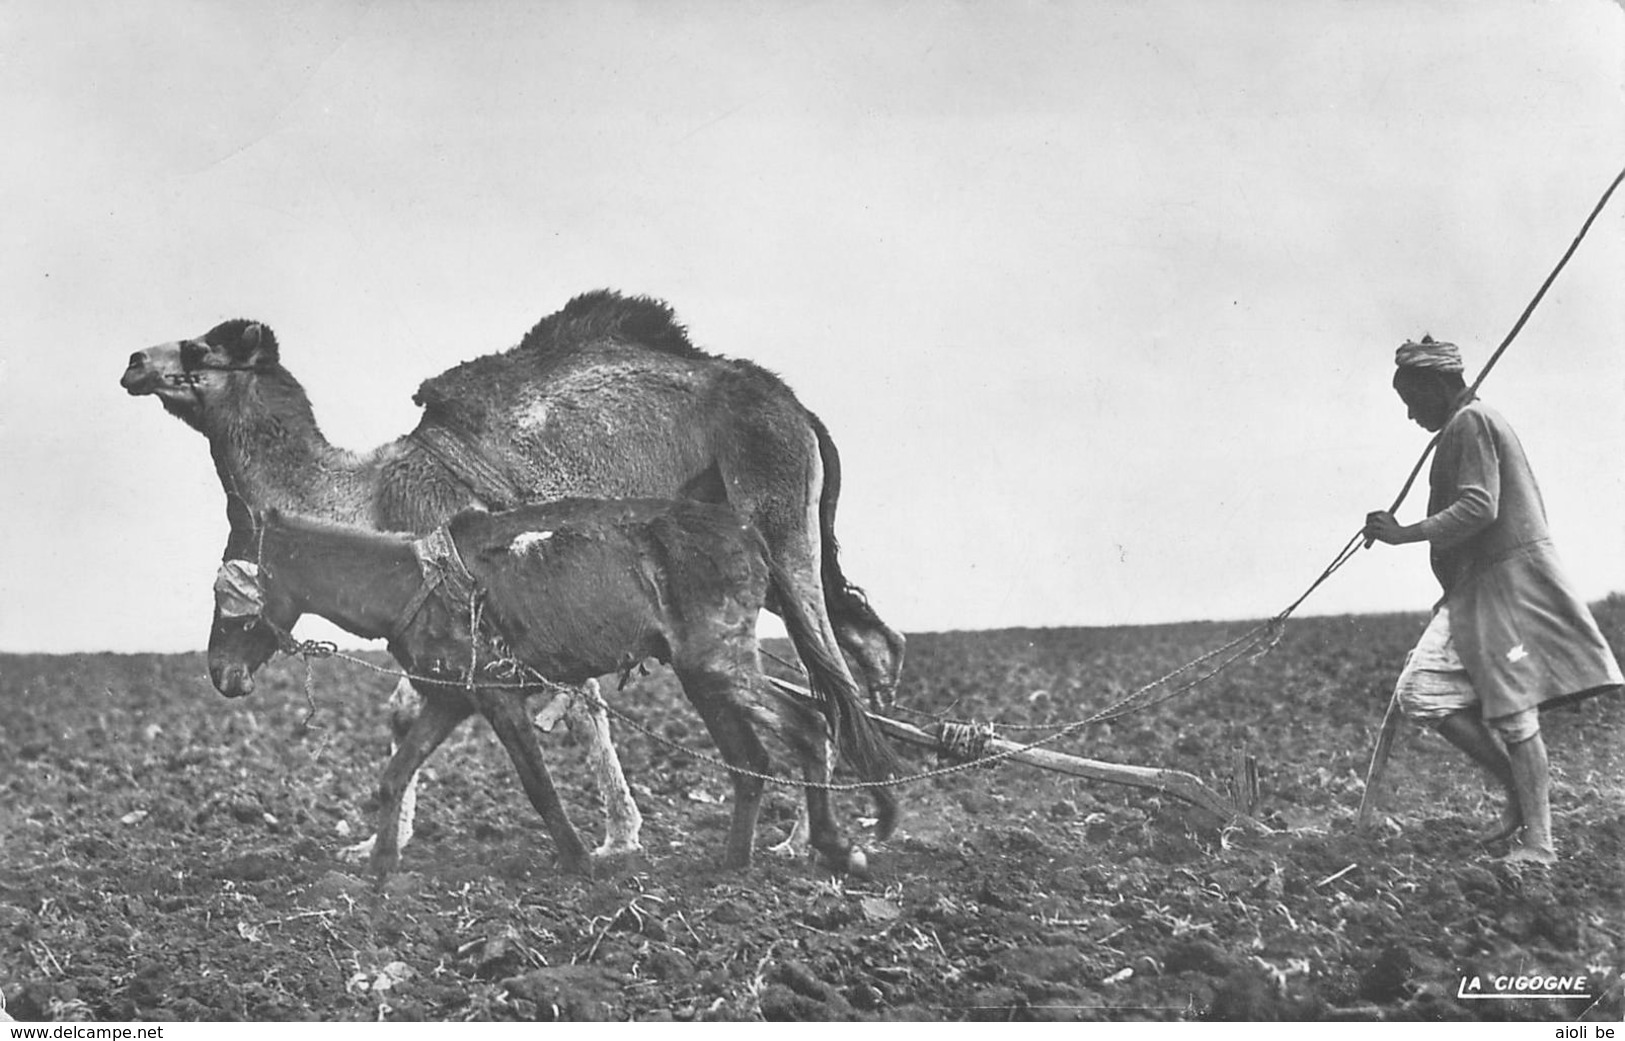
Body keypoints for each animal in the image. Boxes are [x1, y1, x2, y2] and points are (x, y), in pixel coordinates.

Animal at [126, 289, 910, 857]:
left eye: (199, 347)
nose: (133, 359)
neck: (367, 495)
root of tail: (796, 408)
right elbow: (421, 709)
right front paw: (374, 844)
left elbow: (573, 704)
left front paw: (616, 840)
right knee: (860, 648)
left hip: (780, 519)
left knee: (830, 671)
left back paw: (809, 838)